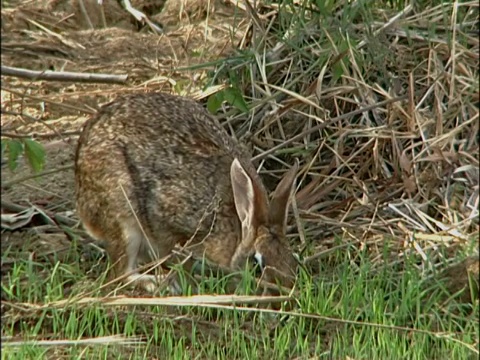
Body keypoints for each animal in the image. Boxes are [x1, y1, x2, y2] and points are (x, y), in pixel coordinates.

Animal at [74, 91, 300, 294]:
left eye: (292, 261)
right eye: (256, 263)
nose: (281, 294)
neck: (236, 229)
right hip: (124, 218)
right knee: (121, 272)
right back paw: (154, 283)